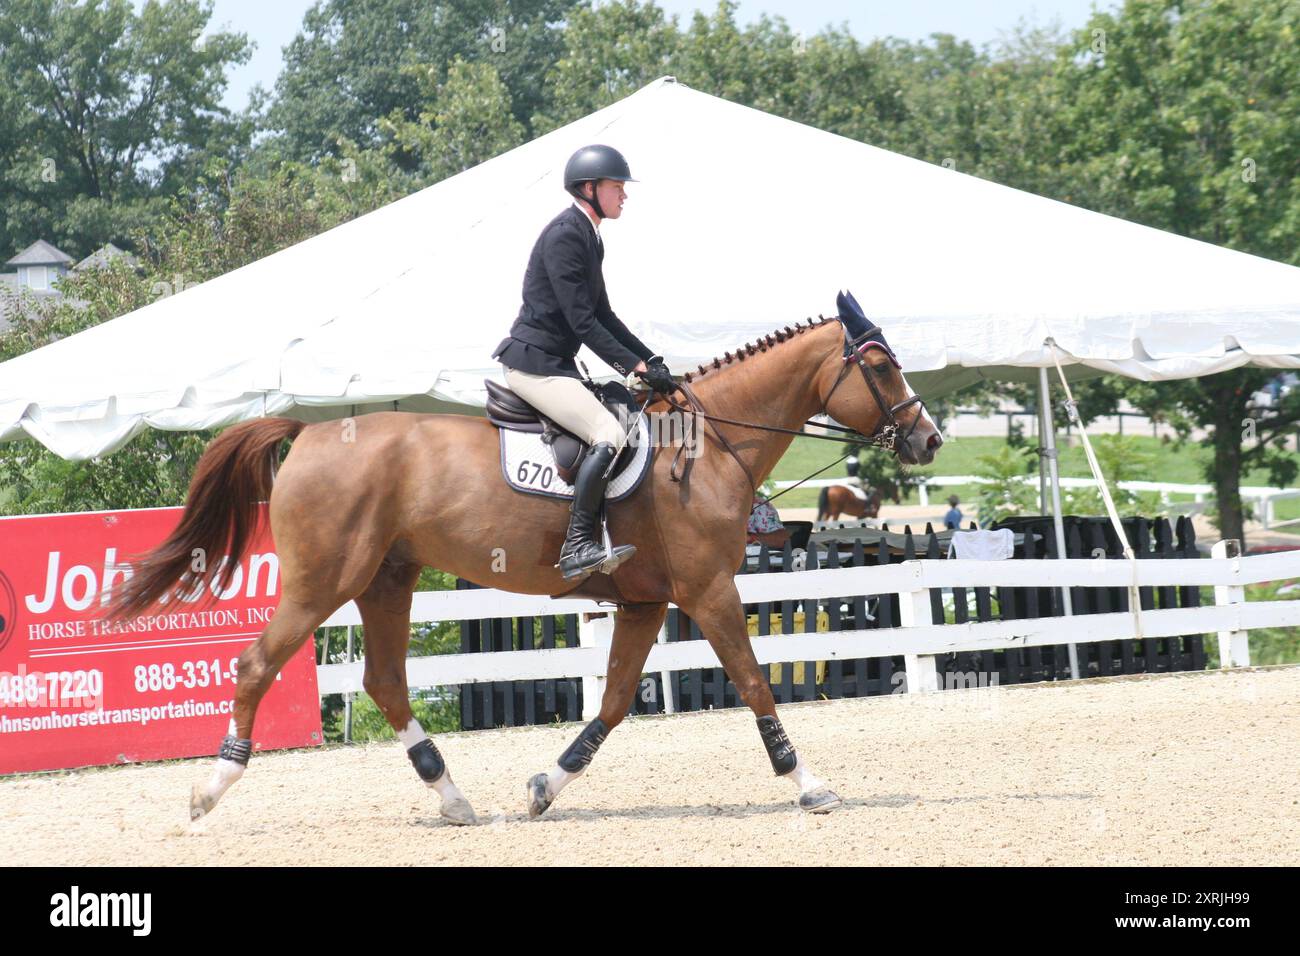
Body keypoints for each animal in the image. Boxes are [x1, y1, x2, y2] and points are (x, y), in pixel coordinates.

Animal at [111, 304, 941, 822]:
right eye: (881, 367)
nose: (929, 439)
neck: (705, 444)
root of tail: (309, 432)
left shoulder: (646, 602)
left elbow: (613, 704)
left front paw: (546, 785)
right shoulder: (708, 591)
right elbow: (754, 684)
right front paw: (810, 785)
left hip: (386, 579)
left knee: (385, 681)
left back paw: (452, 799)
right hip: (325, 582)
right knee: (257, 665)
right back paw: (211, 790)